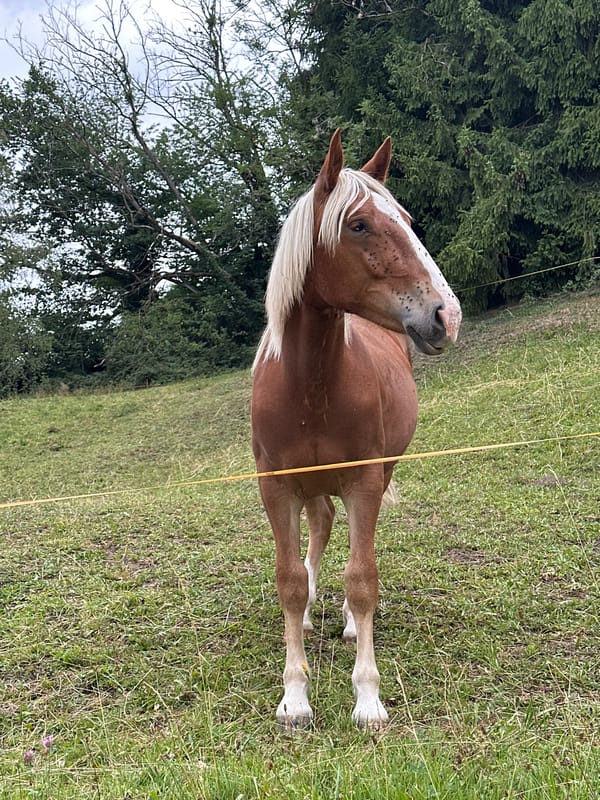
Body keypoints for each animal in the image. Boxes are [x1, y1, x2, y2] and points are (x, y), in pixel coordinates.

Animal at [251, 130, 461, 730]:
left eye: (407, 219)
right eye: (360, 225)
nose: (447, 315)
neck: (309, 385)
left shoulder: (364, 480)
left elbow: (363, 579)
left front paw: (367, 697)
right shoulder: (277, 487)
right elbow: (289, 581)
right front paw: (295, 695)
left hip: (375, 475)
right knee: (320, 528)